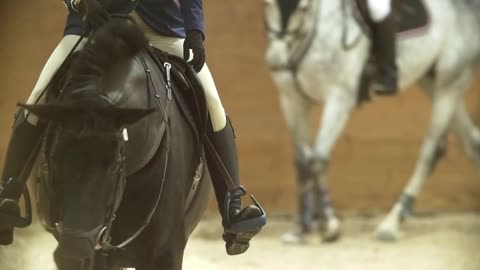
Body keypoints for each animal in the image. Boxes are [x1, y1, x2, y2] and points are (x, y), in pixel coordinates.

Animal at [262, 0, 480, 243]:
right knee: (472, 142)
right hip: (432, 81)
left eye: (300, 7)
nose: (277, 61)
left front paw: (330, 225)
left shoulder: (339, 97)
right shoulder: (292, 100)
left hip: (451, 81)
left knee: (431, 151)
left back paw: (391, 223)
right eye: (267, 5)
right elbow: (303, 162)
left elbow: (317, 159)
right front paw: (300, 228)